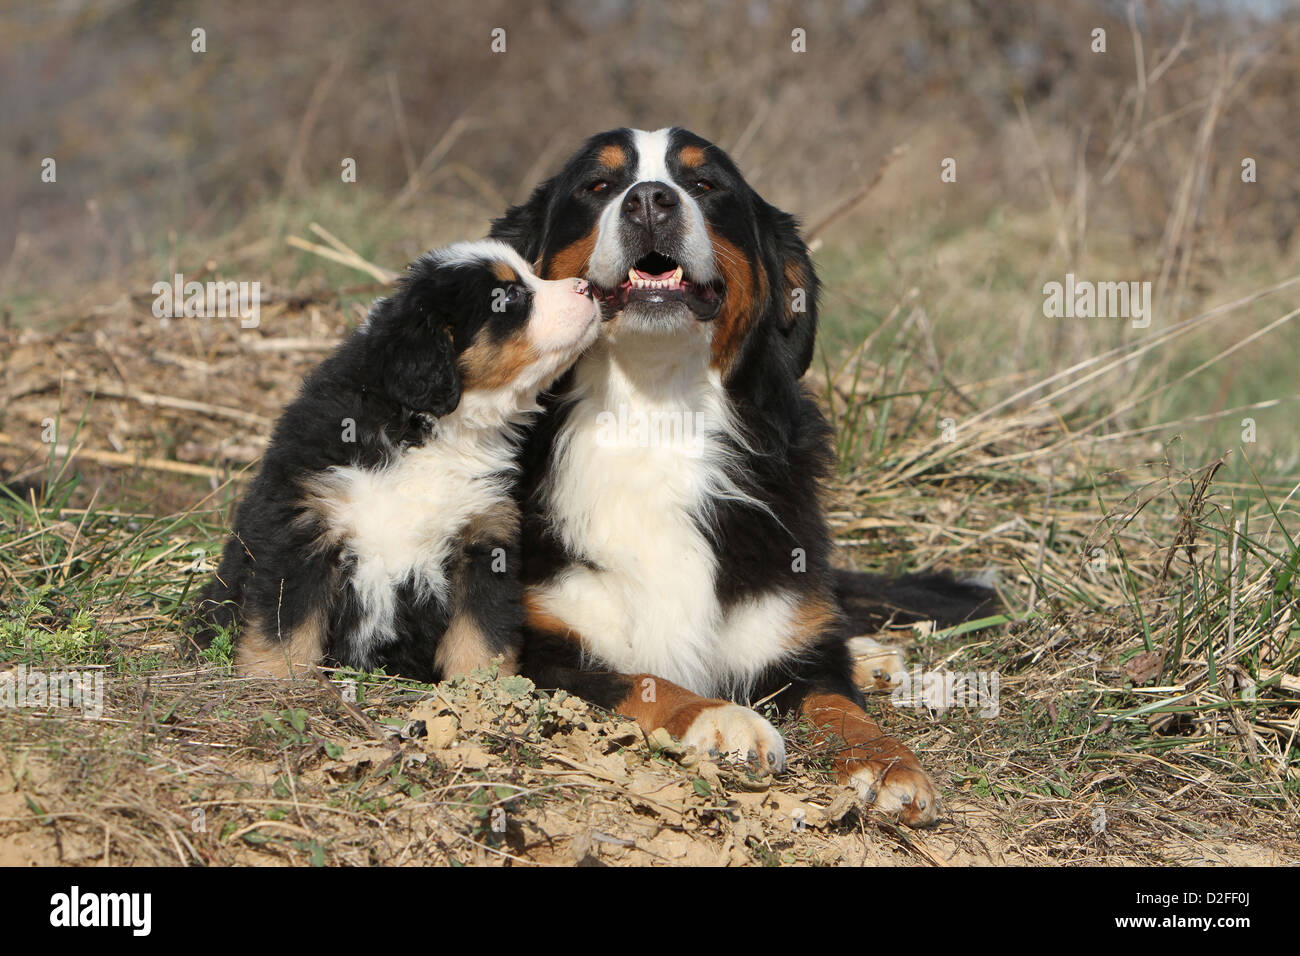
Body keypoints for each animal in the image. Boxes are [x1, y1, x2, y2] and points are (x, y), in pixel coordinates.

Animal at [192, 243, 598, 686]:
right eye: (509, 296)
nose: (589, 287)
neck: (427, 429)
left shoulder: (485, 536)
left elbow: (481, 633)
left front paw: (479, 688)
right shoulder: (302, 528)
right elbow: (284, 625)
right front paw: (276, 681)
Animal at [488, 128, 993, 832]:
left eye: (706, 185)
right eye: (598, 185)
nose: (650, 200)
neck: (656, 410)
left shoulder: (792, 639)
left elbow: (839, 702)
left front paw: (888, 763)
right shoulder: (542, 646)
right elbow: (644, 681)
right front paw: (723, 720)